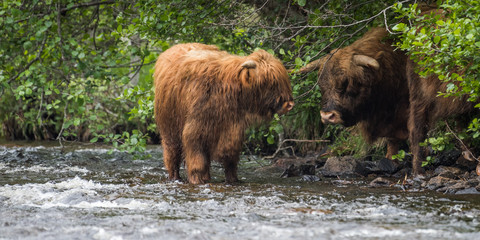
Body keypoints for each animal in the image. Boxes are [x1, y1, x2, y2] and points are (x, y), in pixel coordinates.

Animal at [156, 43, 294, 184]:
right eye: (270, 82)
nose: (289, 104)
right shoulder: (195, 129)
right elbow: (197, 158)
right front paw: (197, 180)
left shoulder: (233, 131)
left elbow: (230, 159)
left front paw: (232, 180)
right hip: (170, 127)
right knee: (172, 153)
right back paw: (175, 177)